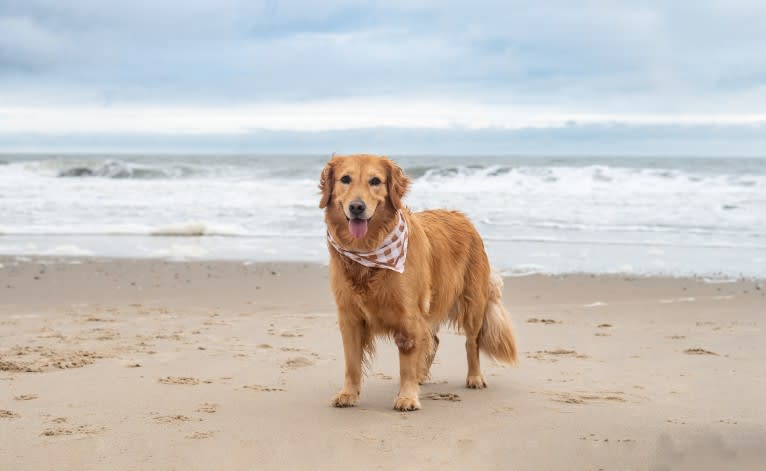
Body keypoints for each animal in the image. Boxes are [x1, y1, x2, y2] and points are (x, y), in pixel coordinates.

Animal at [320, 156, 520, 412]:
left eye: (375, 181)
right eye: (345, 179)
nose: (356, 207)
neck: (368, 251)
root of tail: (462, 216)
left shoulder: (408, 314)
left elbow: (407, 361)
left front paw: (407, 396)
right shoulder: (349, 315)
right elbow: (352, 362)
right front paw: (348, 393)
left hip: (473, 304)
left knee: (471, 342)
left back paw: (474, 377)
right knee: (433, 340)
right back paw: (422, 375)